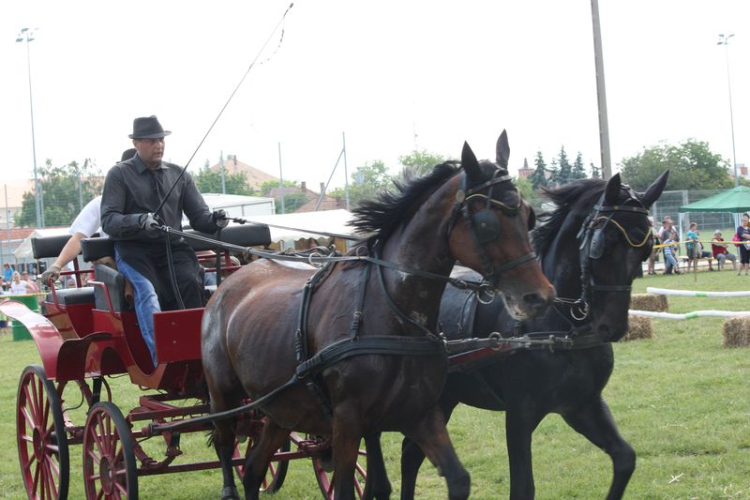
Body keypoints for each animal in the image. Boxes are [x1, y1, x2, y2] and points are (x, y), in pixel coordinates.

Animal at [203, 133, 556, 500]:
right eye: (487, 224)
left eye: (529, 215)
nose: (539, 296)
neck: (392, 312)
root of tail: (230, 281)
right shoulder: (347, 420)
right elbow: (348, 488)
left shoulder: (420, 412)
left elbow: (458, 479)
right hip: (224, 395)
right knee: (226, 443)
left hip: (282, 407)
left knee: (254, 469)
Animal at [400, 170, 668, 498]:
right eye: (602, 243)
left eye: (646, 249)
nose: (613, 327)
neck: (561, 329)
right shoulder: (519, 415)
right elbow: (523, 487)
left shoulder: (581, 405)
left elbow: (625, 459)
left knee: (410, 454)